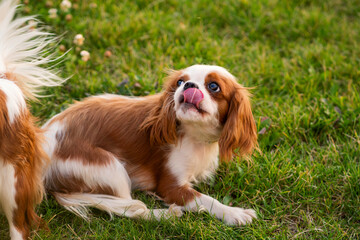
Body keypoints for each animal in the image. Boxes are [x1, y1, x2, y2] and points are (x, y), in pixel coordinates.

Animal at [42, 63, 258, 225]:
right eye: (180, 82)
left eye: (214, 86)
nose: (188, 85)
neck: (194, 134)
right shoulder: (170, 186)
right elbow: (206, 199)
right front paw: (234, 213)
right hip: (108, 166)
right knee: (132, 208)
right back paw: (165, 215)